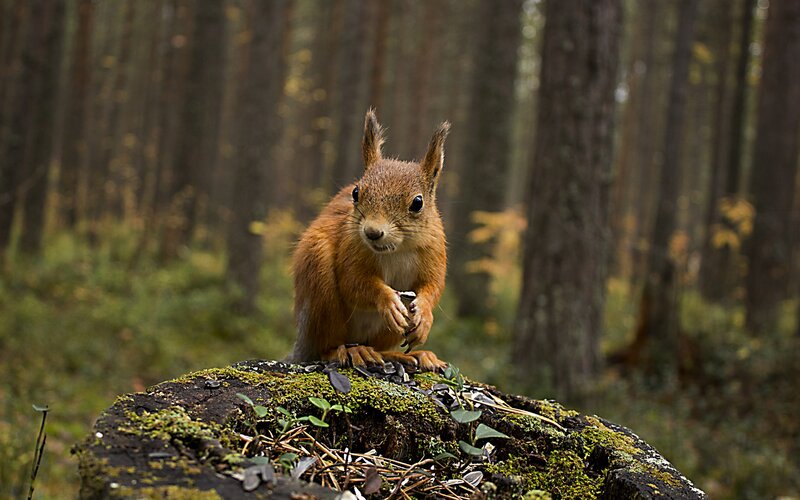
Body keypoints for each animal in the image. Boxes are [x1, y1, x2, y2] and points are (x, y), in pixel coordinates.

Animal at [288, 109, 450, 372]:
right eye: (356, 192)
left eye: (418, 203)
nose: (372, 232)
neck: (397, 250)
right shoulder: (351, 248)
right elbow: (353, 282)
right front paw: (388, 300)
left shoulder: (434, 252)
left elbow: (433, 286)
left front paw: (424, 315)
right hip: (319, 287)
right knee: (326, 347)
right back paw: (351, 351)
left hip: (386, 333)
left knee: (380, 347)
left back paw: (411, 355)